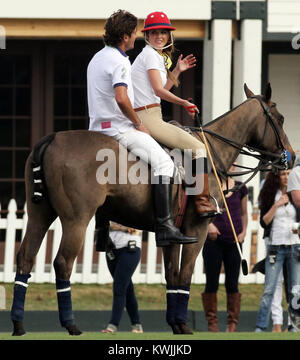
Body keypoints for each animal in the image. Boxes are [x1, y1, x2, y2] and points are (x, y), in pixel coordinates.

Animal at [10, 83, 294, 334]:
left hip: (40, 214)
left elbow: (172, 275)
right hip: (77, 219)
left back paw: (18, 325)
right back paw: (70, 325)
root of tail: (51, 138)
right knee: (62, 262)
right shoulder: (198, 227)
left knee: (25, 257)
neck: (212, 153)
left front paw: (176, 324)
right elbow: (185, 274)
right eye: (280, 119)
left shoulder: (173, 232)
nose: (290, 157)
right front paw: (184, 326)